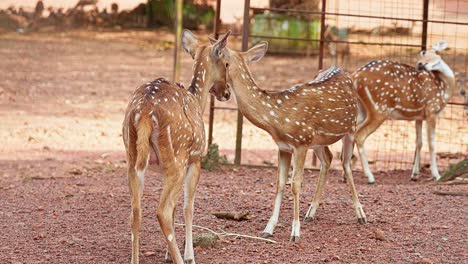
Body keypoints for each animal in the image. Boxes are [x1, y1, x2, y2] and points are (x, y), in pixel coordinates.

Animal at [121, 29, 229, 262]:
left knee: (135, 212)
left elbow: (177, 208)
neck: (198, 100)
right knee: (162, 211)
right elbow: (188, 207)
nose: (226, 93)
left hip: (133, 158)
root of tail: (145, 111)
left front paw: (167, 254)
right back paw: (180, 259)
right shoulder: (195, 159)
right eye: (227, 63)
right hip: (177, 157)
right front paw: (188, 256)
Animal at [218, 40, 368, 241]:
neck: (276, 119)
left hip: (350, 128)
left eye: (222, 58)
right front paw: (268, 229)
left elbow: (295, 184)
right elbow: (280, 184)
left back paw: (361, 215)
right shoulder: (284, 147)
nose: (223, 94)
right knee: (328, 159)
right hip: (318, 140)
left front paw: (295, 232)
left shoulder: (301, 142)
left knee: (346, 164)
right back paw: (311, 212)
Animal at [352, 40, 458, 184]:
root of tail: (354, 76)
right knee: (359, 135)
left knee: (349, 133)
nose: (420, 64)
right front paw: (437, 175)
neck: (444, 89)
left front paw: (414, 174)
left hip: (361, 109)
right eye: (422, 53)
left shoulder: (419, 116)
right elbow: (432, 144)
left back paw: (346, 175)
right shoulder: (432, 110)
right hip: (379, 109)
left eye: (435, 52)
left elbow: (419, 143)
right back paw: (370, 177)